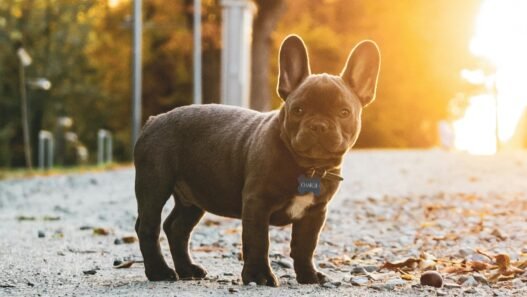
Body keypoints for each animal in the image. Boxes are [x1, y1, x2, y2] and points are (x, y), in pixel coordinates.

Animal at [132, 34, 380, 284]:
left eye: (344, 112)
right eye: (298, 110)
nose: (318, 125)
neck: (308, 167)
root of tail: (154, 120)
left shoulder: (315, 213)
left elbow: (305, 246)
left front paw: (308, 276)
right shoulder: (257, 203)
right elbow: (259, 241)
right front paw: (259, 275)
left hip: (194, 197)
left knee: (177, 228)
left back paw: (187, 269)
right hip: (155, 184)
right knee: (148, 227)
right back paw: (159, 272)